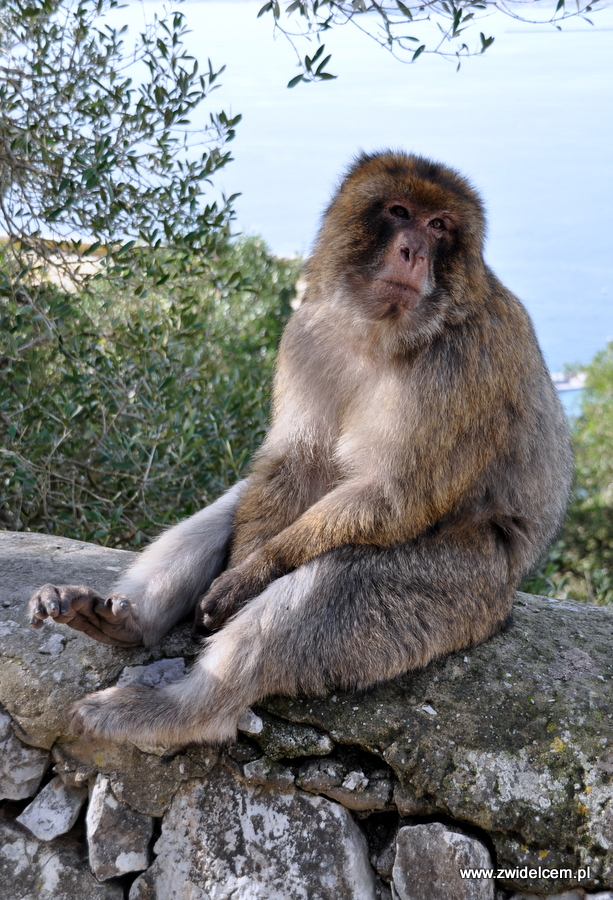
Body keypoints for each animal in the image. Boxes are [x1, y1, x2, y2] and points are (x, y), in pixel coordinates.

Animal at [28, 153, 572, 744]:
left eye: (439, 226)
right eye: (399, 212)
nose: (415, 251)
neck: (383, 332)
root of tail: (505, 601)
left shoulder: (465, 361)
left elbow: (393, 496)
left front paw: (251, 574)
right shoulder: (307, 333)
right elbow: (296, 462)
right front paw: (241, 566)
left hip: (464, 593)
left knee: (342, 578)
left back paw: (184, 708)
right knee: (243, 502)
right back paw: (123, 622)